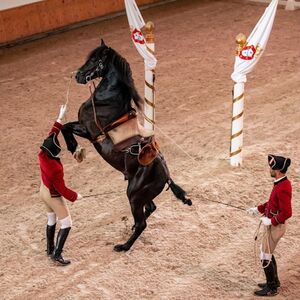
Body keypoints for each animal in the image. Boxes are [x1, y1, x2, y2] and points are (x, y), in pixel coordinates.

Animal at [61, 39, 192, 251]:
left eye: (94, 59)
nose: (78, 75)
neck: (107, 99)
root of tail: (166, 173)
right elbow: (65, 126)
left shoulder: (89, 131)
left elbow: (65, 127)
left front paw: (75, 149)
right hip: (142, 195)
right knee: (150, 209)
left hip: (134, 195)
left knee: (142, 223)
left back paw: (124, 246)